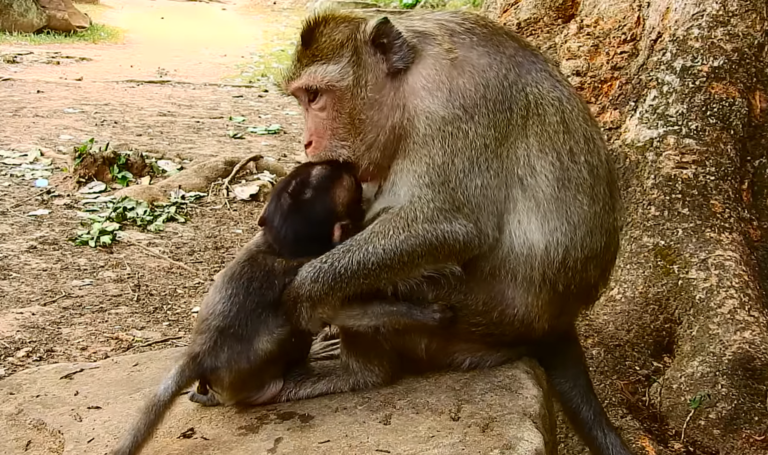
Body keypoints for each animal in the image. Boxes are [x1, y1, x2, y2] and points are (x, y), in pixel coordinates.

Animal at [111, 160, 453, 455]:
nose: (342, 163)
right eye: (340, 179)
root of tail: (199, 353)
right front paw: (423, 314)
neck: (281, 246)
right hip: (247, 376)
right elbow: (327, 311)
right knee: (288, 337)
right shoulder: (304, 271)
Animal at [274, 10, 632, 455]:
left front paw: (305, 291)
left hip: (478, 319)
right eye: (301, 98)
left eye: (316, 96)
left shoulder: (455, 105)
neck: (408, 84)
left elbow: (452, 226)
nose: (307, 142)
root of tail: (560, 322)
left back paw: (358, 372)